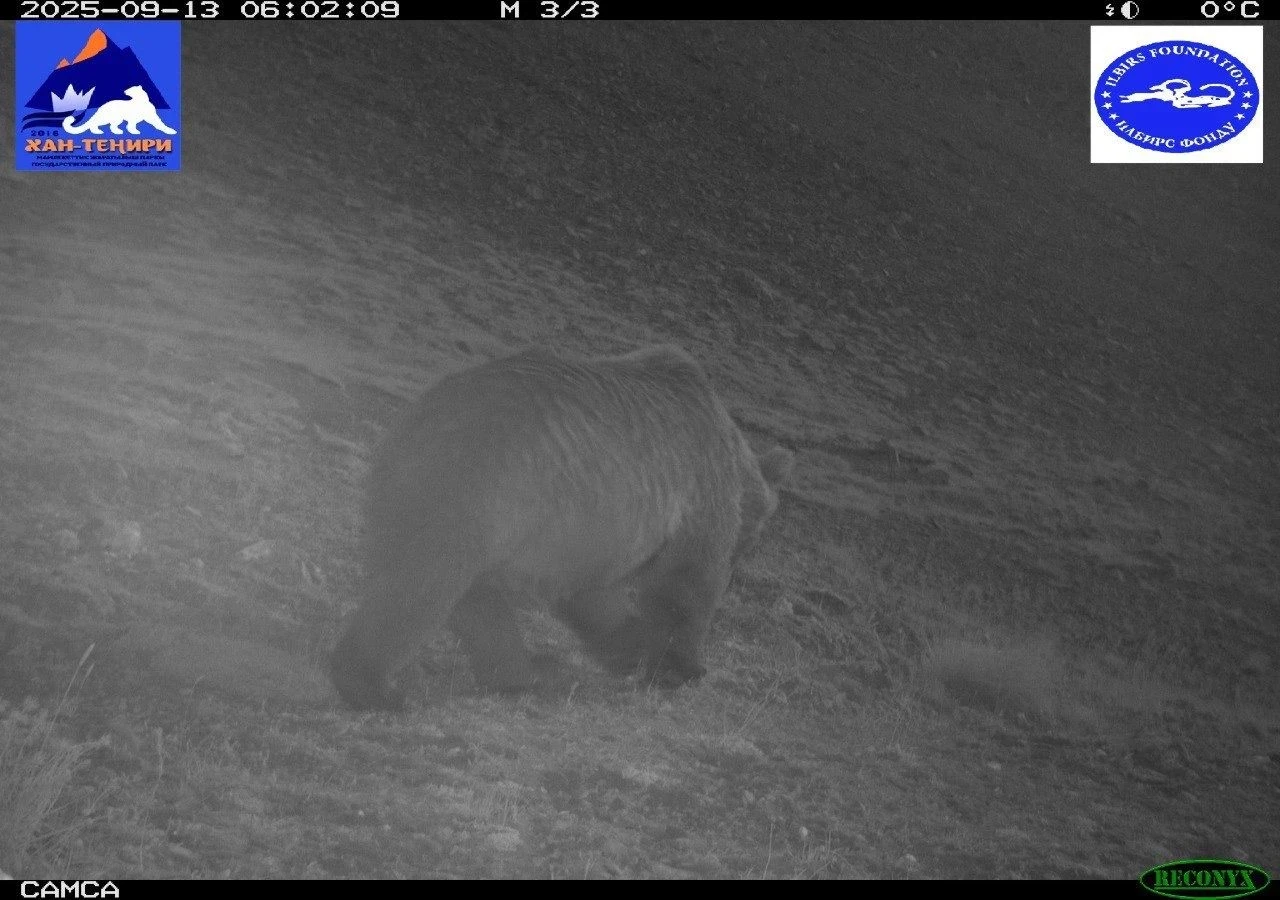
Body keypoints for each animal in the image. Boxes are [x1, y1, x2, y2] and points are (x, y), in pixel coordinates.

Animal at [330, 344, 794, 711]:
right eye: (750, 542)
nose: (740, 561)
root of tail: (428, 415)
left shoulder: (594, 530)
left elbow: (591, 595)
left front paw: (633, 647)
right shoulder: (696, 498)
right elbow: (686, 586)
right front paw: (681, 666)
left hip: (453, 498)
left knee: (473, 596)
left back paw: (526, 673)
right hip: (485, 488)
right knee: (426, 584)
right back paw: (372, 685)